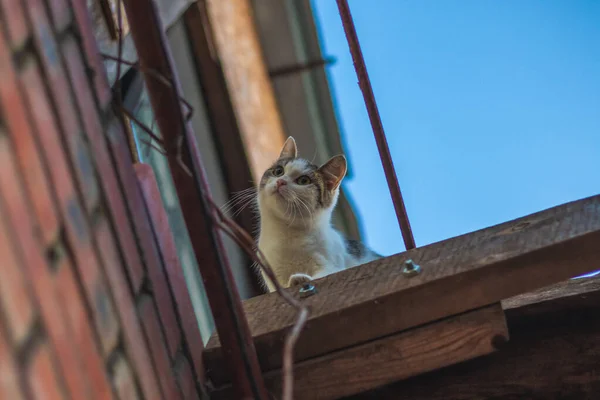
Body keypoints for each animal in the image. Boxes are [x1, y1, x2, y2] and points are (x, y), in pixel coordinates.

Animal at [253, 136, 380, 292]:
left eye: (303, 180)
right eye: (278, 171)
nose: (281, 181)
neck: (286, 232)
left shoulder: (332, 264)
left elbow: (324, 274)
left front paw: (299, 279)